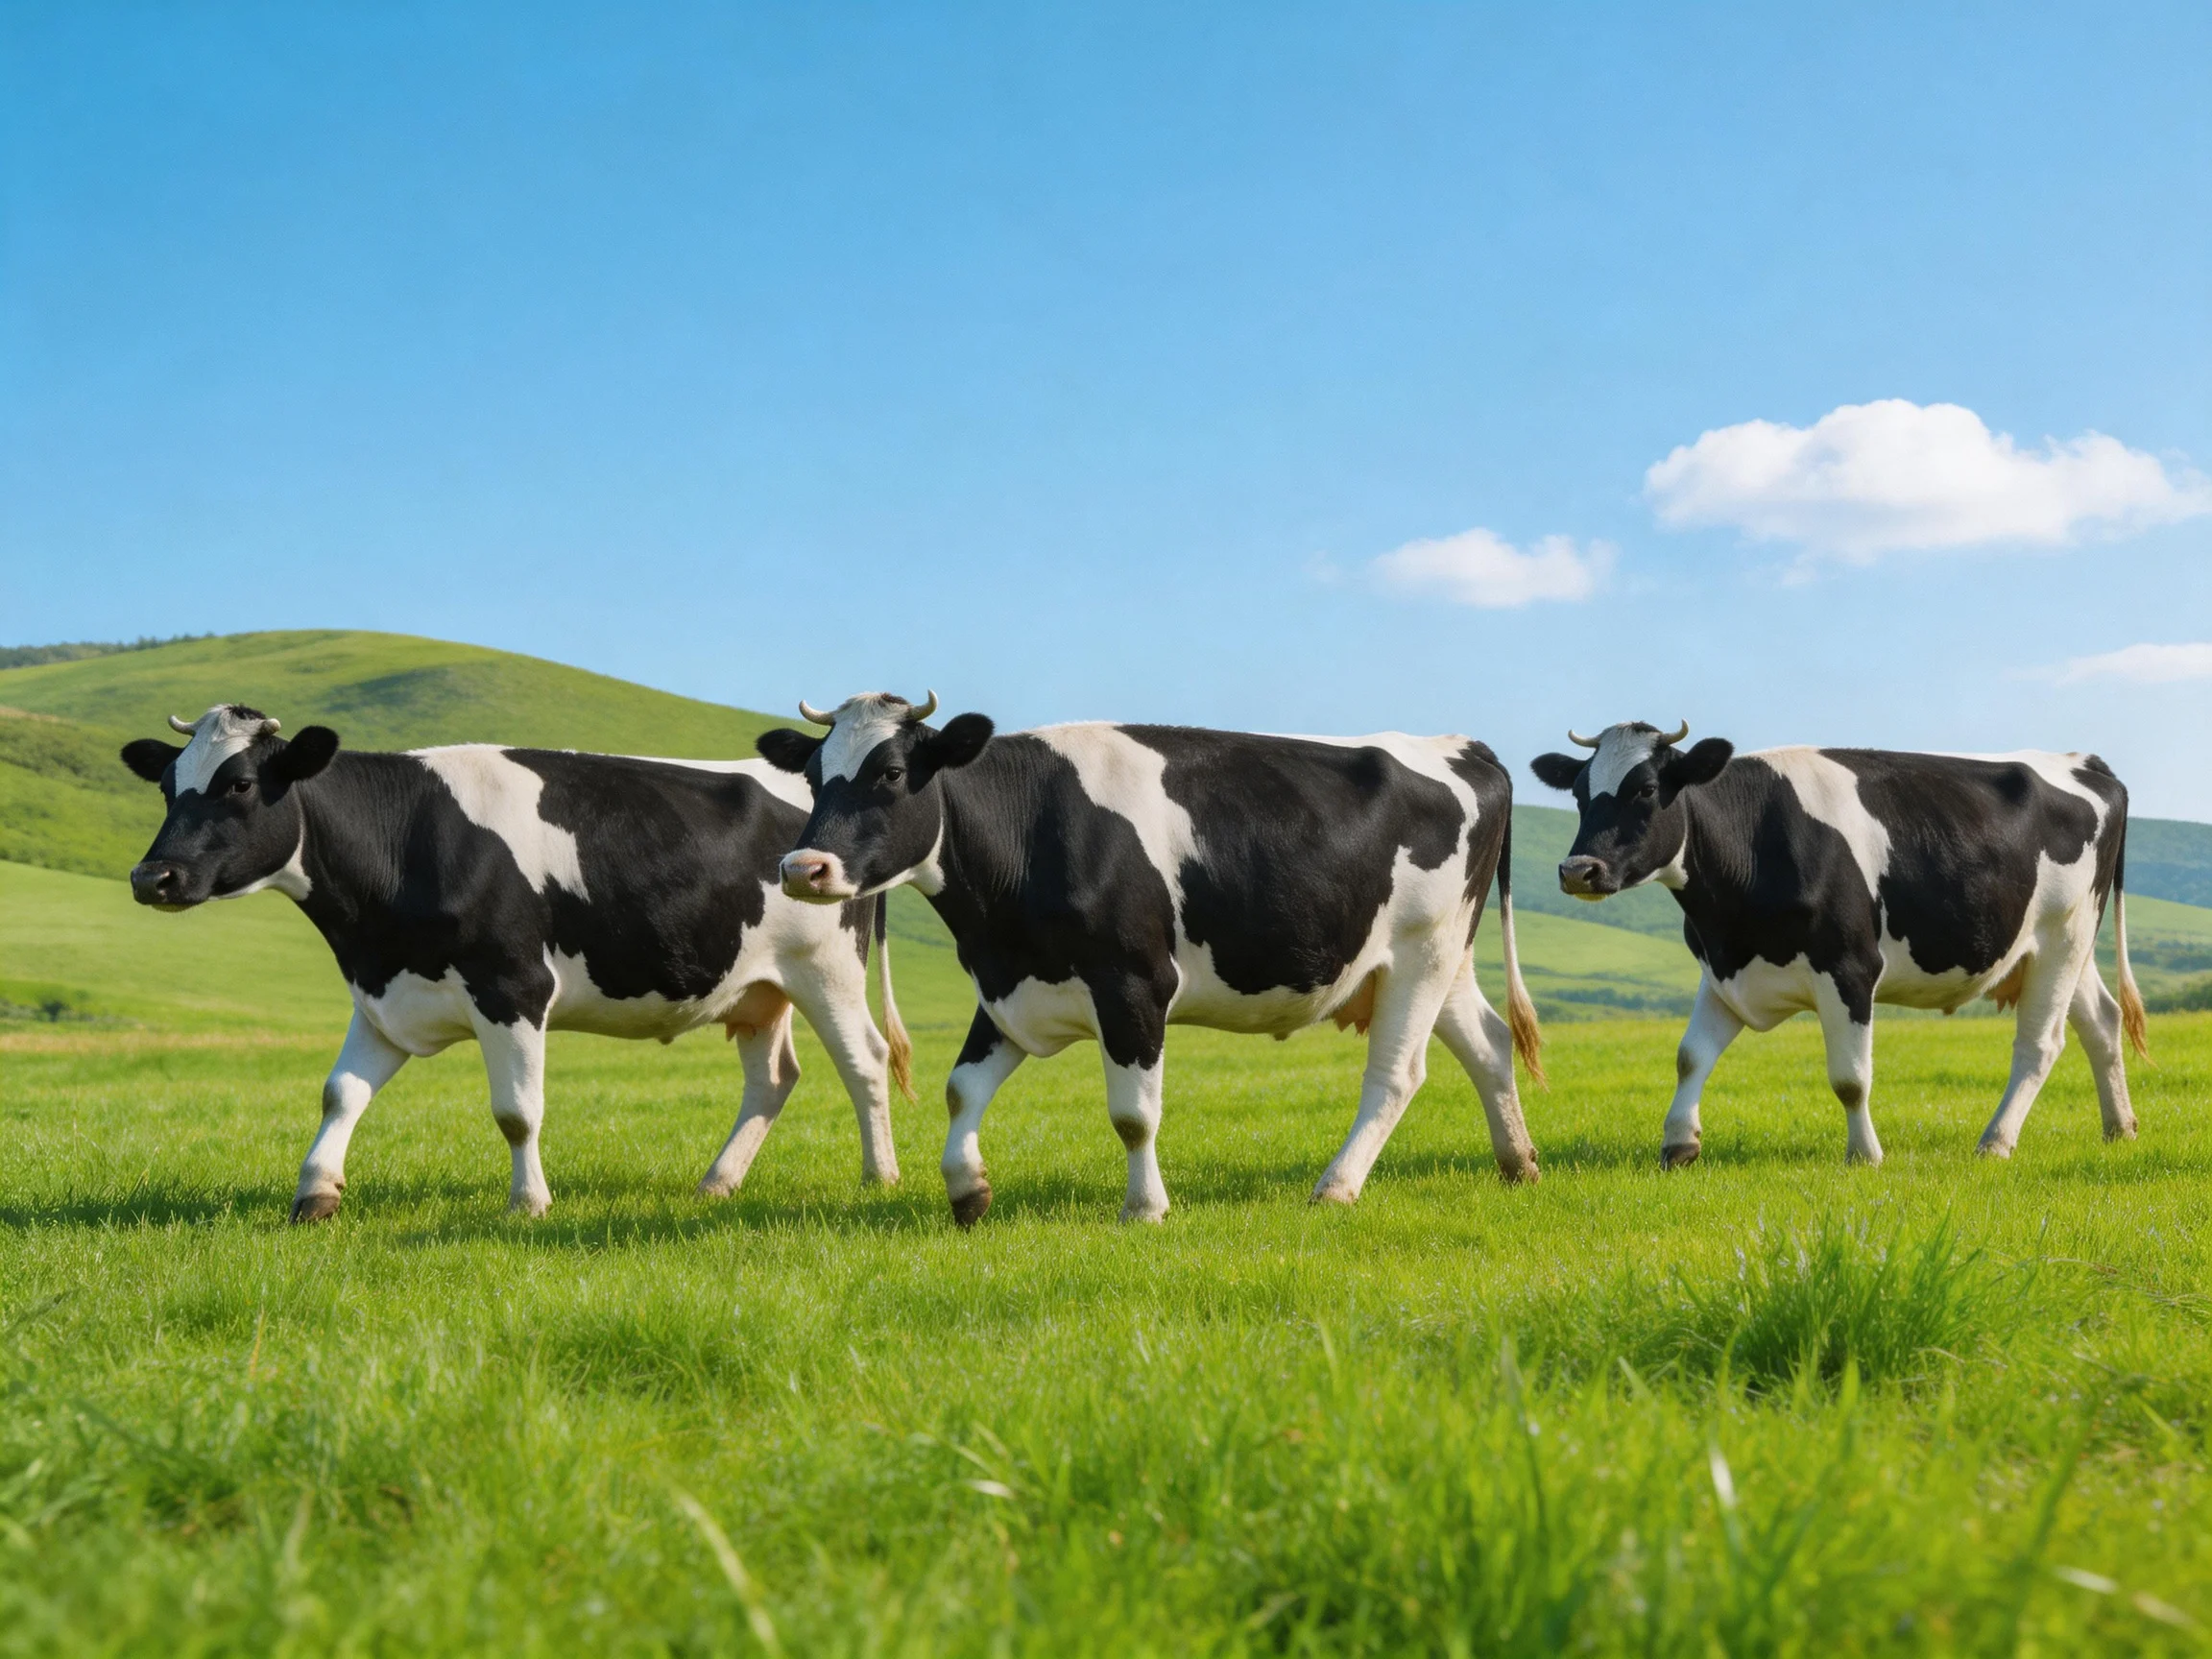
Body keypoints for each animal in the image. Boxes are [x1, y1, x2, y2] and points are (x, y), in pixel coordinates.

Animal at [120, 704, 914, 1220]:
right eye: (166, 786)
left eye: (239, 784)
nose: (151, 877)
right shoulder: (384, 995)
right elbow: (339, 1093)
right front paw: (315, 1193)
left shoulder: (513, 987)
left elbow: (516, 1112)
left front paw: (528, 1203)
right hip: (756, 986)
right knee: (773, 1077)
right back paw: (718, 1182)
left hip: (827, 968)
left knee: (865, 1061)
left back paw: (880, 1176)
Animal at [756, 691, 1544, 1226]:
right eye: (814, 777)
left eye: (890, 772)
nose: (802, 868)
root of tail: (1463, 746)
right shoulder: (1010, 989)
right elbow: (961, 1091)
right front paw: (968, 1192)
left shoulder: (1133, 983)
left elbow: (1133, 1114)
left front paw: (1144, 1209)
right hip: (1443, 957)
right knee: (1488, 1042)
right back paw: (1519, 1163)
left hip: (1421, 950)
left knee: (1396, 1074)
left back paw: (1336, 1187)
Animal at [1529, 721, 2148, 1167]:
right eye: (1580, 794)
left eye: (1647, 789)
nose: (1577, 869)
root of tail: (2082, 762)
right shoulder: (1723, 970)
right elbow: (1690, 1057)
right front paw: (1679, 1143)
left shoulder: (1850, 968)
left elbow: (1850, 1079)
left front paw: (1865, 1155)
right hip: (2057, 947)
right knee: (2101, 1020)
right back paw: (2119, 1128)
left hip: (2063, 935)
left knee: (2040, 1044)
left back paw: (1995, 1140)